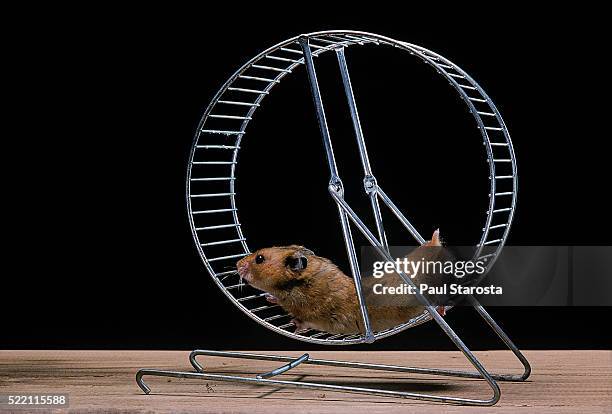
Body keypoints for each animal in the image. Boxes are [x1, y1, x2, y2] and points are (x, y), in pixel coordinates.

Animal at [235, 230, 444, 336]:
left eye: (260, 258)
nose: (236, 264)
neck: (299, 284)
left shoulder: (317, 315)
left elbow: (304, 322)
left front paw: (293, 322)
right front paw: (269, 297)